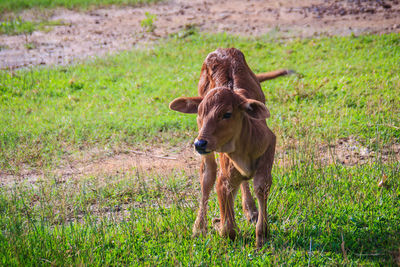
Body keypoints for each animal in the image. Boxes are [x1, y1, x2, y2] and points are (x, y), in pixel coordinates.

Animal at [169, 47, 290, 249]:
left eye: (227, 114)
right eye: (200, 113)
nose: (199, 143)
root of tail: (222, 50)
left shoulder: (269, 146)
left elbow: (261, 185)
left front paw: (262, 234)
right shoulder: (224, 178)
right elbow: (228, 229)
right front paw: (218, 224)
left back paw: (250, 209)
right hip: (208, 155)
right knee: (207, 176)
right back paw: (199, 227)